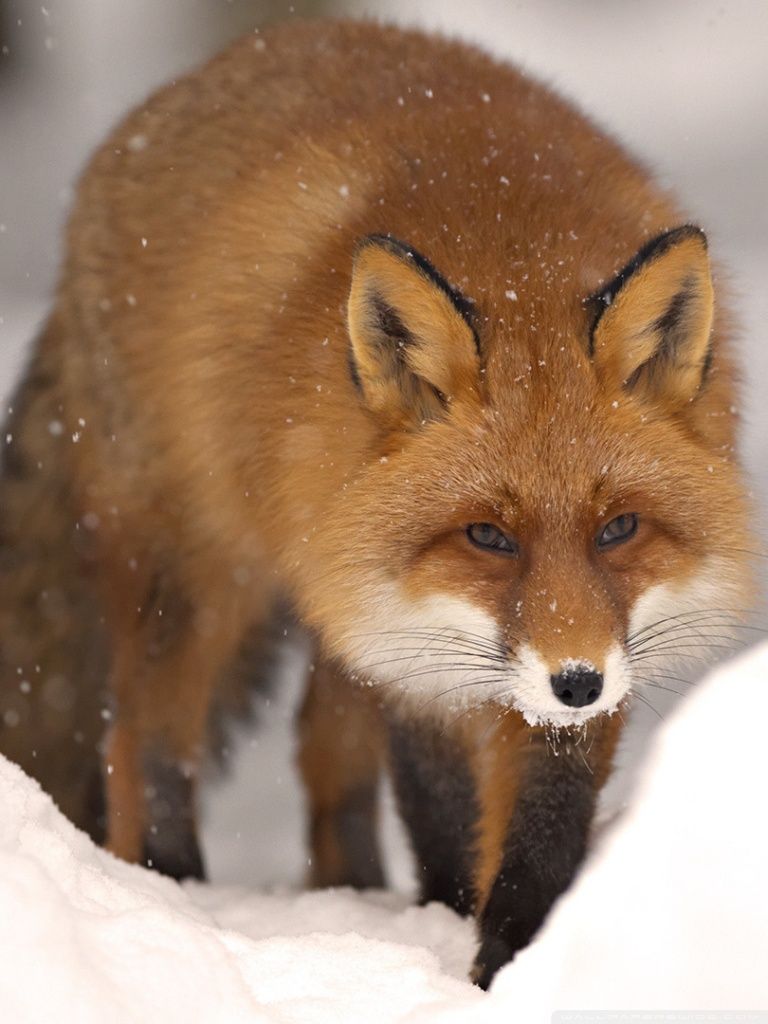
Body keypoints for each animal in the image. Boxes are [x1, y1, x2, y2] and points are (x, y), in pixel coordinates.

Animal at [0, 18, 754, 987]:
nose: (577, 682)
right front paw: (457, 924)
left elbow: (544, 820)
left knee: (322, 751)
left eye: (619, 528)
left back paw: (350, 890)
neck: (516, 250)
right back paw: (175, 886)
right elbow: (442, 806)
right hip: (203, 575)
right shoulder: (412, 645)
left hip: (331, 589)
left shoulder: (562, 648)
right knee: (140, 738)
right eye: (487, 536)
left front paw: (514, 952)